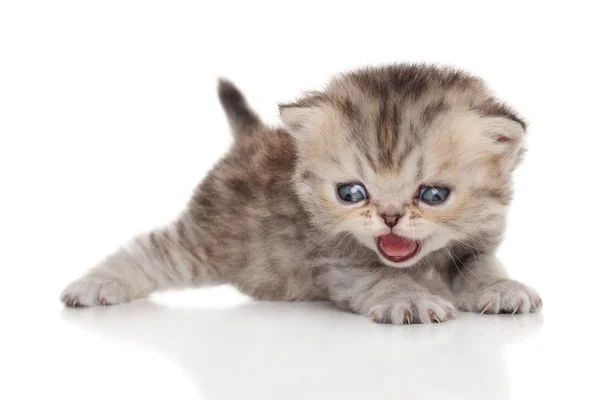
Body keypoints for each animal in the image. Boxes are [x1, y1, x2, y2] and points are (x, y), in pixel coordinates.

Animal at [62, 63, 544, 324]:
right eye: (352, 192)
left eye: (433, 195)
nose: (389, 216)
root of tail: (251, 138)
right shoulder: (335, 258)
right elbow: (381, 277)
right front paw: (409, 299)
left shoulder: (477, 244)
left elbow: (482, 268)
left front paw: (502, 289)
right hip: (206, 242)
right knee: (149, 251)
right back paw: (95, 284)